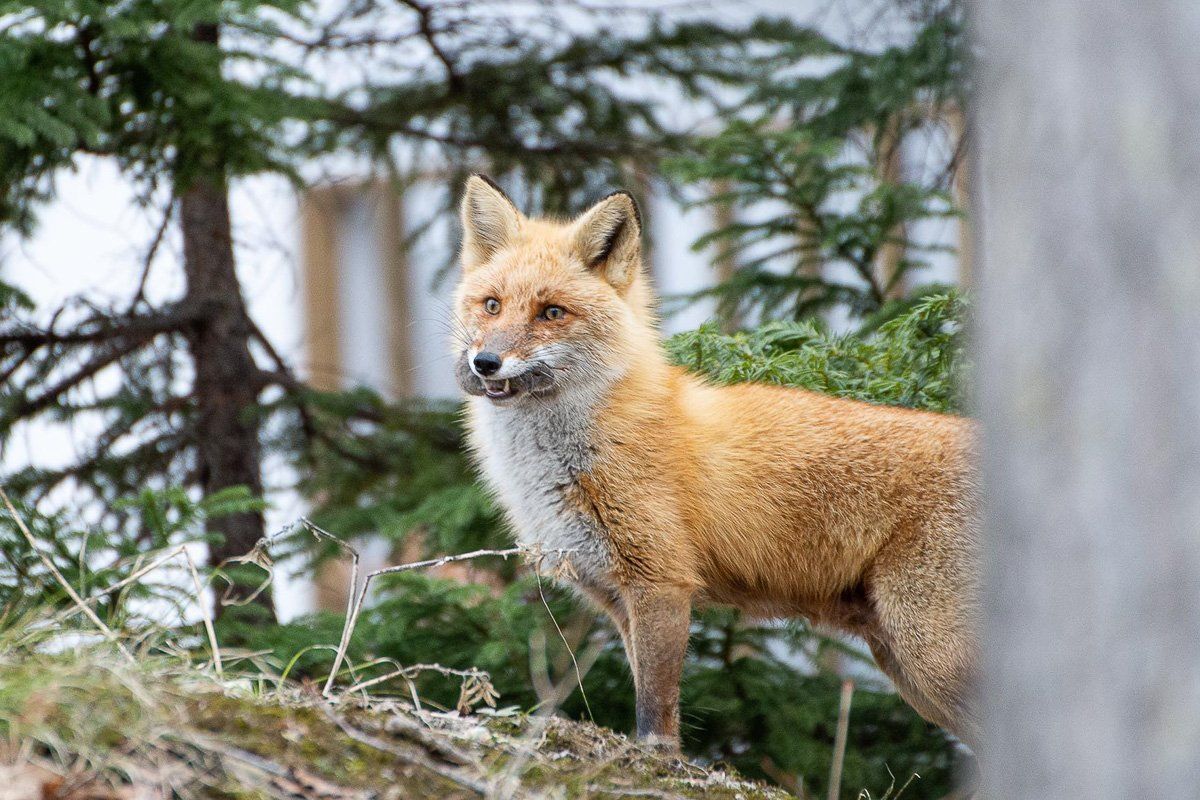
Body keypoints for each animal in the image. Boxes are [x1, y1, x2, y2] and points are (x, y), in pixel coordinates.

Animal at [451, 174, 982, 752]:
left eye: (551, 312)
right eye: (492, 305)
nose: (486, 362)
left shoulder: (661, 580)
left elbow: (655, 709)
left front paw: (657, 760)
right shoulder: (615, 598)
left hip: (928, 655)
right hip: (905, 664)